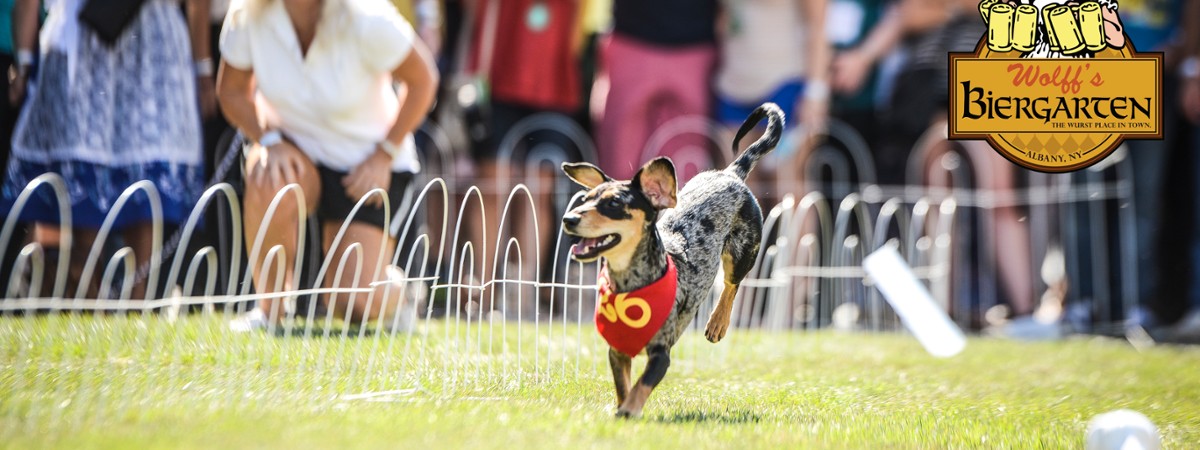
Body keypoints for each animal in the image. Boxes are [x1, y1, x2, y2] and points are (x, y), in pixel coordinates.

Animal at [561, 102, 787, 420]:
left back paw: (718, 322)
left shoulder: (661, 355)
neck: (630, 286)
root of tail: (731, 174)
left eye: (614, 203)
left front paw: (629, 412)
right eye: (585, 199)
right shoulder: (617, 352)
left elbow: (641, 386)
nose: (569, 219)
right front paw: (622, 408)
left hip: (744, 250)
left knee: (732, 285)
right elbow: (624, 386)